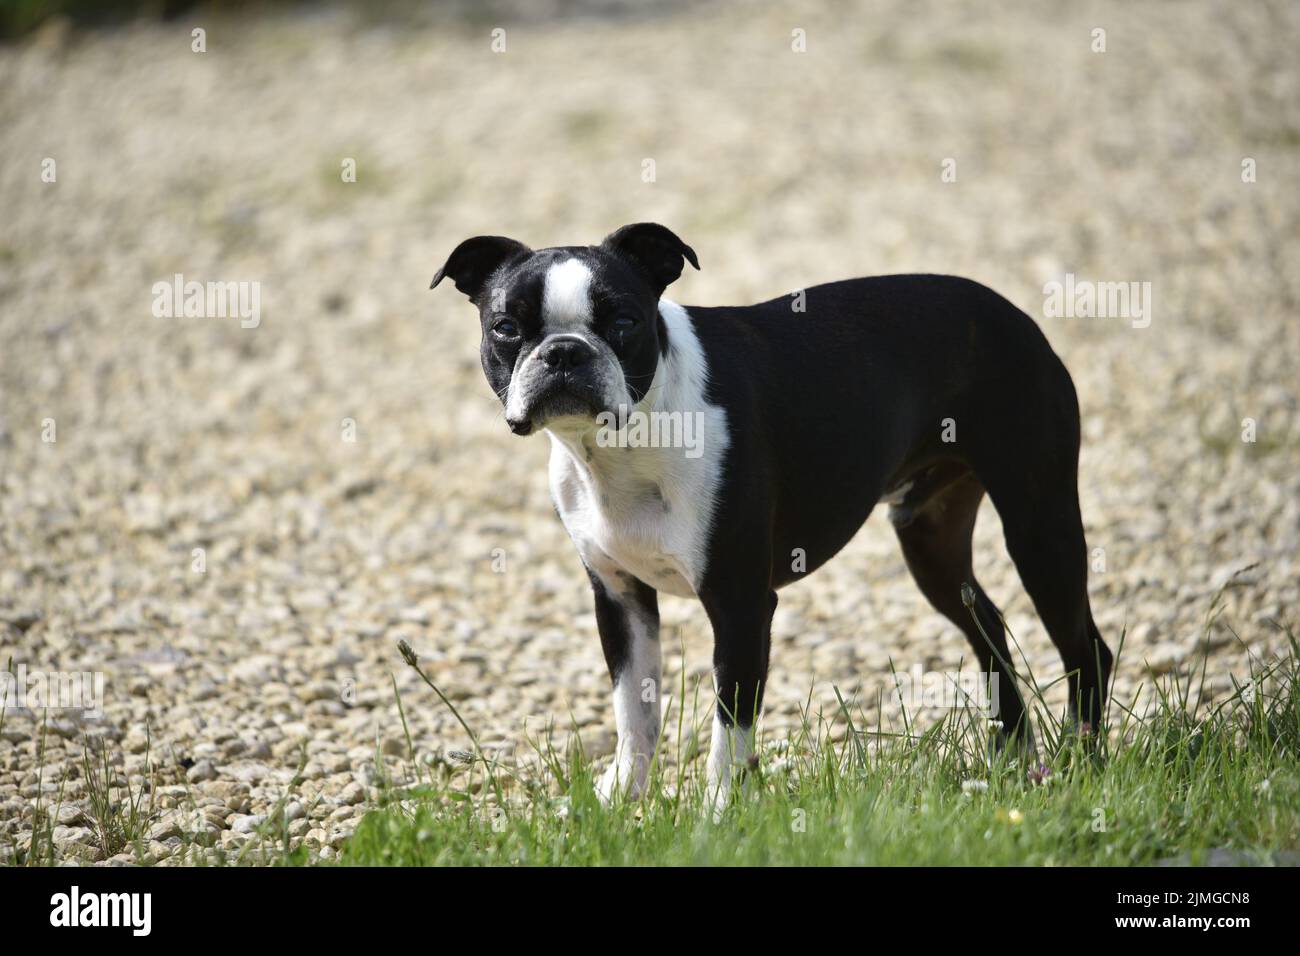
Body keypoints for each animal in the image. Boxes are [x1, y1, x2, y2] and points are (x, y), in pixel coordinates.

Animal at [431, 222, 1112, 806]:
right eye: (506, 328)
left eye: (624, 321)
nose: (565, 351)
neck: (620, 447)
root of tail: (1009, 310)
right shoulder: (619, 599)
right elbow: (634, 711)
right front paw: (618, 800)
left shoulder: (740, 604)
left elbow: (728, 733)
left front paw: (716, 816)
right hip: (930, 539)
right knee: (988, 624)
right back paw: (1015, 759)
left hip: (1038, 520)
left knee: (1086, 647)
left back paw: (1082, 765)